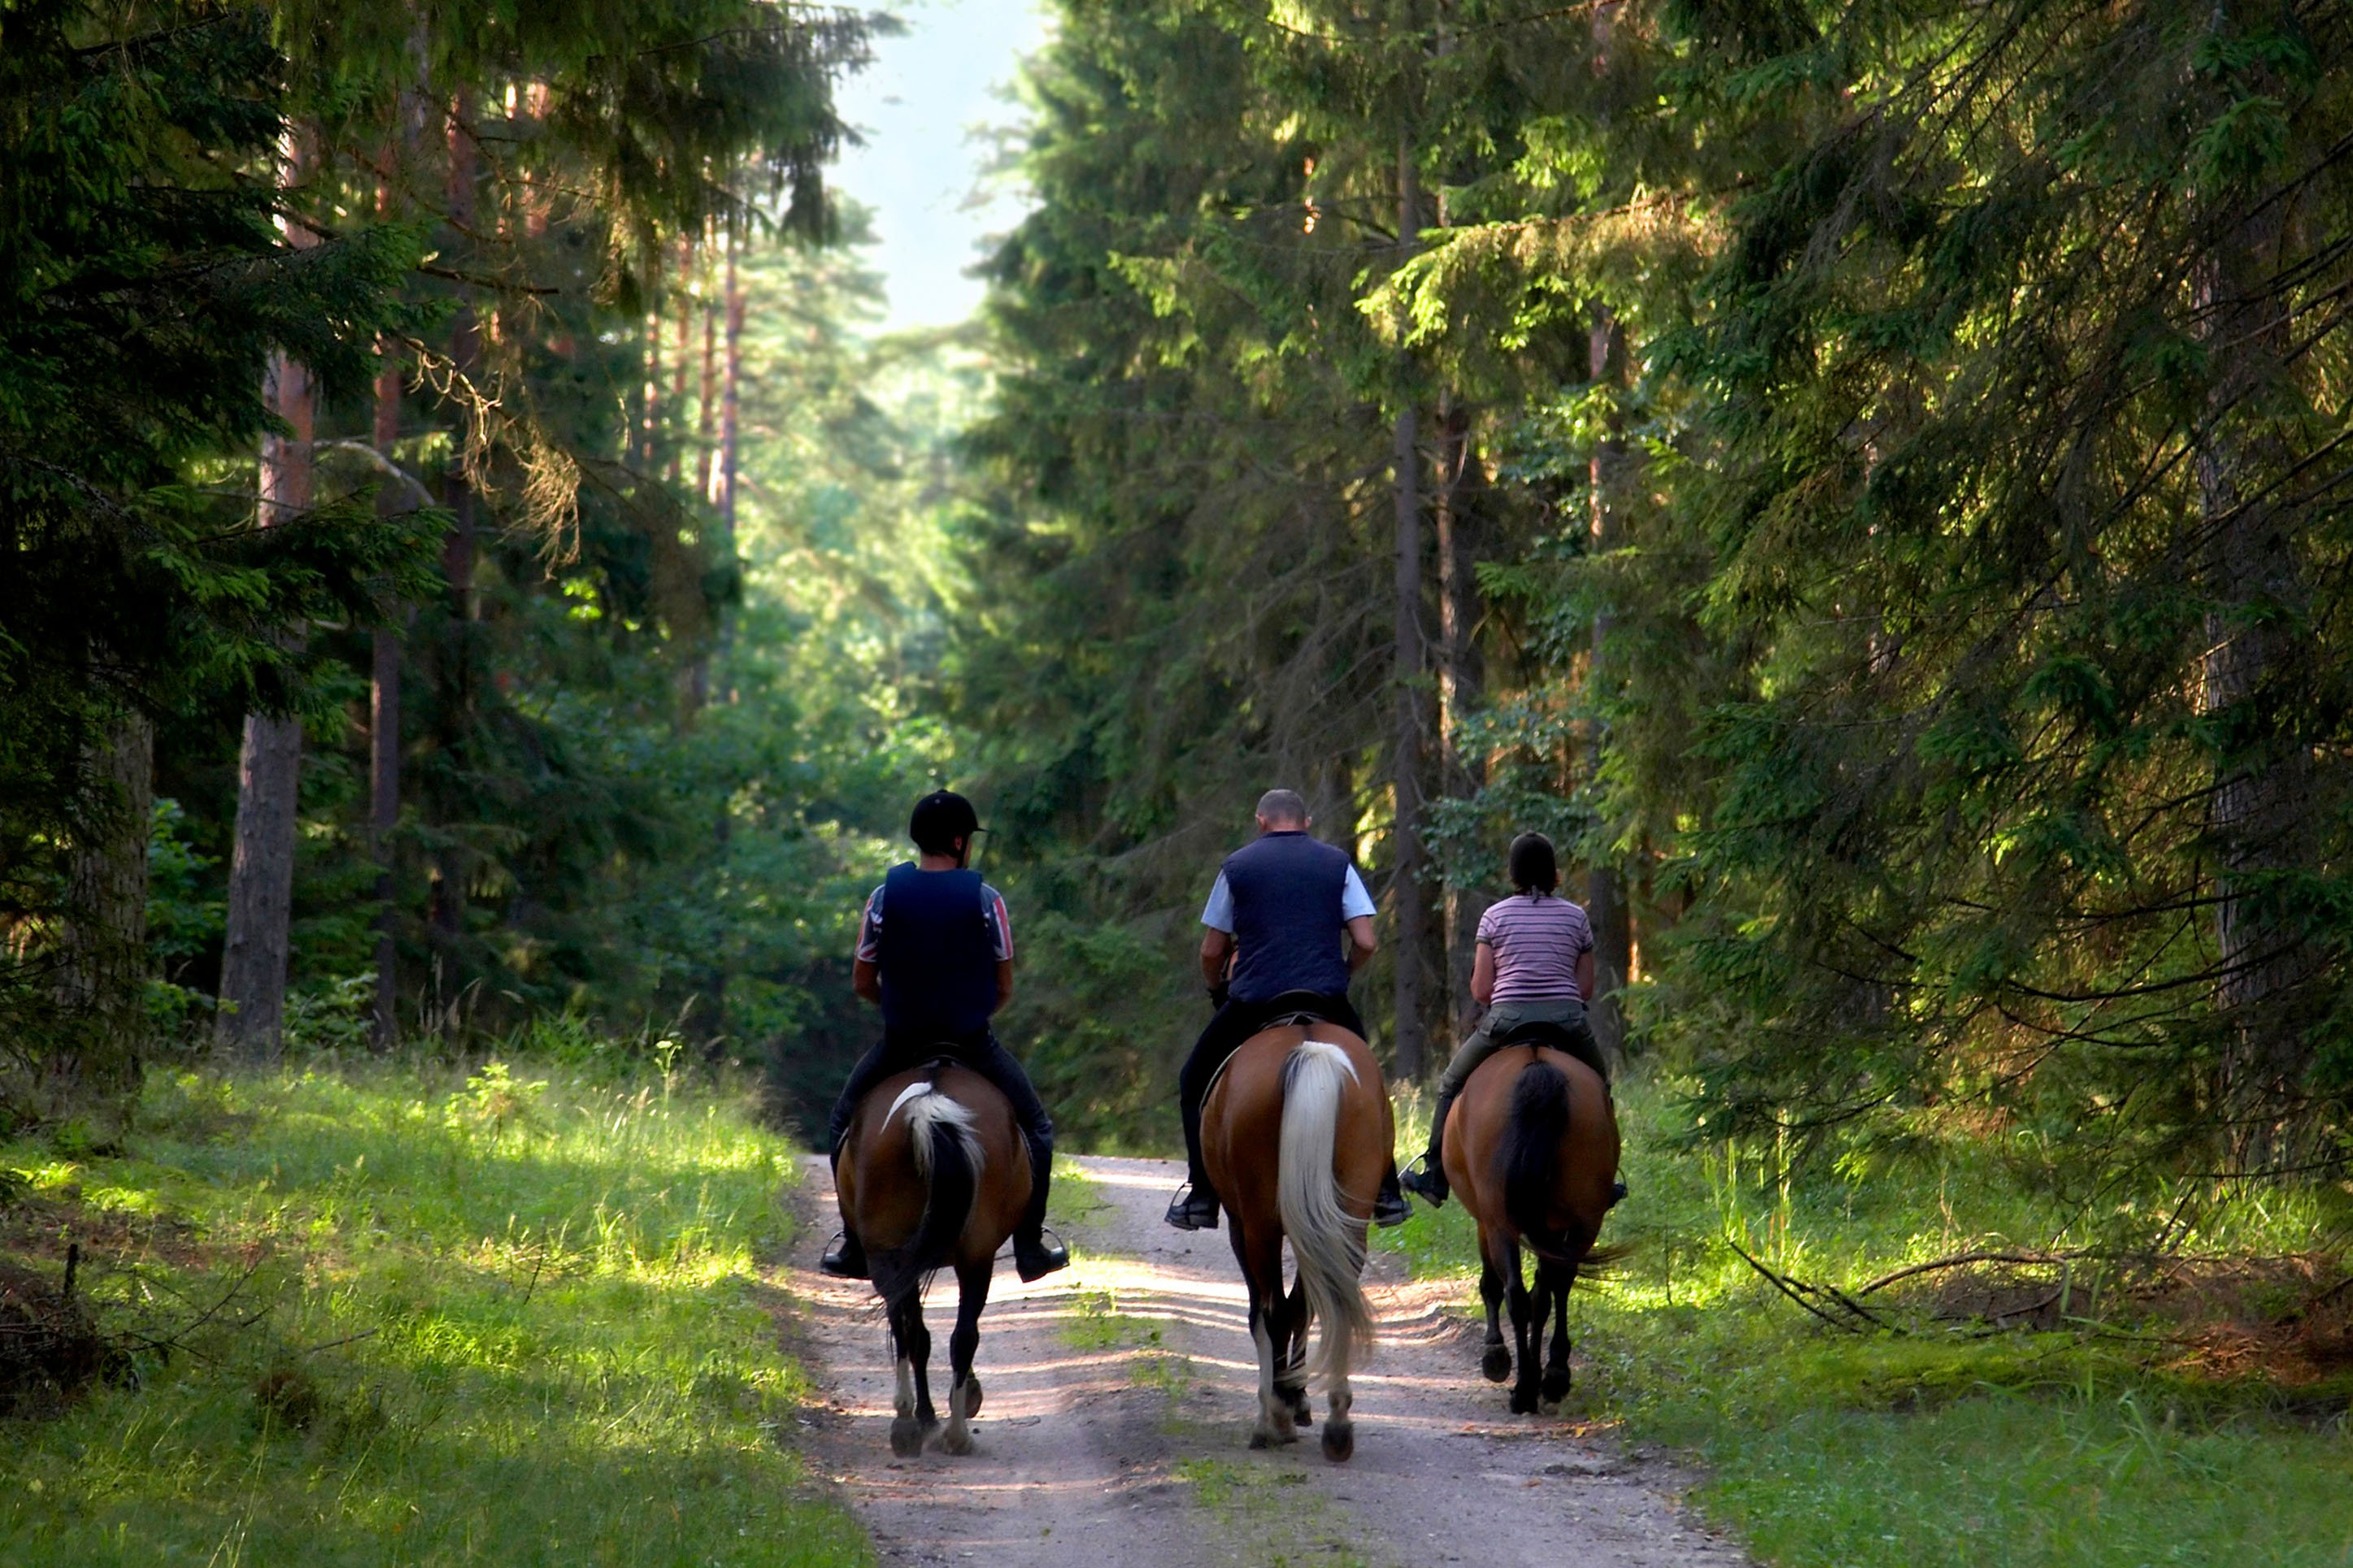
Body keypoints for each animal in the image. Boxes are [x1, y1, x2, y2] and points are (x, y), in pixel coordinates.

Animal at [842, 1062, 1035, 1457]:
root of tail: (929, 1103)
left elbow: (917, 1333)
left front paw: (927, 1415)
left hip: (888, 1254)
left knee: (910, 1330)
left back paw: (910, 1422)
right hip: (974, 1257)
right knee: (962, 1337)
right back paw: (955, 1433)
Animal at [1204, 1020, 1383, 1457]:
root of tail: (1308, 1047)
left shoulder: (1240, 1226)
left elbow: (1267, 1312)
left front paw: (1283, 1402)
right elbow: (1306, 1305)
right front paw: (1298, 1396)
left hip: (1259, 1228)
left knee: (1272, 1312)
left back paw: (1275, 1419)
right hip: (1347, 1217)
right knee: (1331, 1298)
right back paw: (1337, 1423)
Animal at [1440, 1044, 1628, 1410]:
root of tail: (1538, 1067)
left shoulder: (1485, 1221)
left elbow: (1491, 1285)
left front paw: (1495, 1354)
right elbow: (1546, 1291)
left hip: (1500, 1222)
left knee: (1515, 1293)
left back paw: (1524, 1387)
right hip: (1586, 1219)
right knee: (1555, 1286)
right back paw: (1553, 1376)